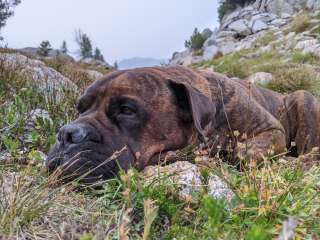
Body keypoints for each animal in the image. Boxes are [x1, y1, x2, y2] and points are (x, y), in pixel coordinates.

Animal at [47, 65, 320, 182]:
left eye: (126, 110)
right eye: (80, 108)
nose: (67, 134)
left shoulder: (271, 130)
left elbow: (244, 152)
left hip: (303, 97)